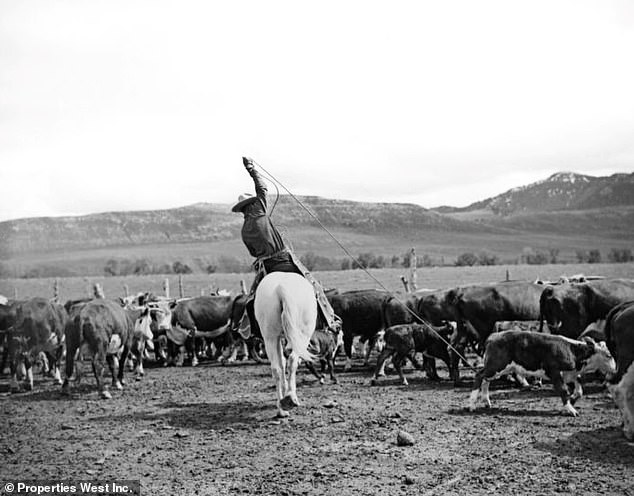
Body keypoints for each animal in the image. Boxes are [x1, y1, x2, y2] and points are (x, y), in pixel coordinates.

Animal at [254, 274, 316, 416]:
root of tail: (281, 288)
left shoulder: (277, 338)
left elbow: (281, 362)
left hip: (270, 337)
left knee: (276, 368)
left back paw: (281, 409)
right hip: (302, 335)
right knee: (292, 361)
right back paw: (291, 399)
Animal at [470, 332, 612, 416]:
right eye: (609, 355)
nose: (614, 369)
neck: (572, 351)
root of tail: (493, 336)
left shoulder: (571, 373)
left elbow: (579, 391)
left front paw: (571, 401)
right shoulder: (554, 372)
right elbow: (563, 390)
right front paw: (571, 409)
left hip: (497, 369)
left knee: (486, 380)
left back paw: (487, 402)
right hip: (496, 366)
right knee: (479, 376)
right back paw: (472, 405)